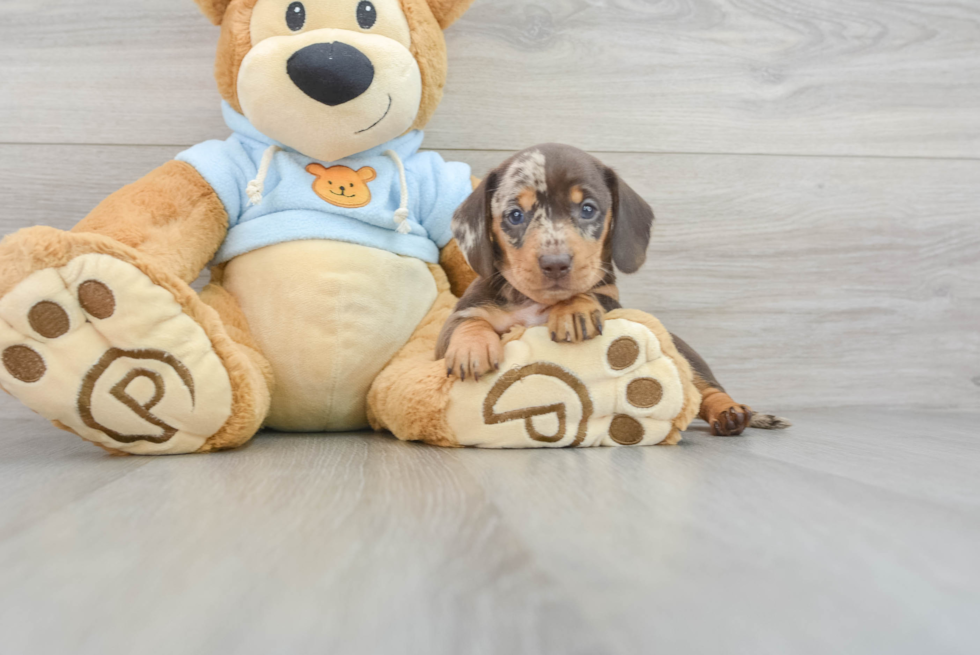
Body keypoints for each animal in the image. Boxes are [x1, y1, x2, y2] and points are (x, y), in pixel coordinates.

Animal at [436, 146, 780, 438]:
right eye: (515, 215)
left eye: (588, 209)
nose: (555, 263)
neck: (535, 302)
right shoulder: (457, 322)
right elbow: (469, 322)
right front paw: (471, 349)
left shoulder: (612, 299)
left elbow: (590, 292)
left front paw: (574, 309)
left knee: (705, 389)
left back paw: (730, 412)